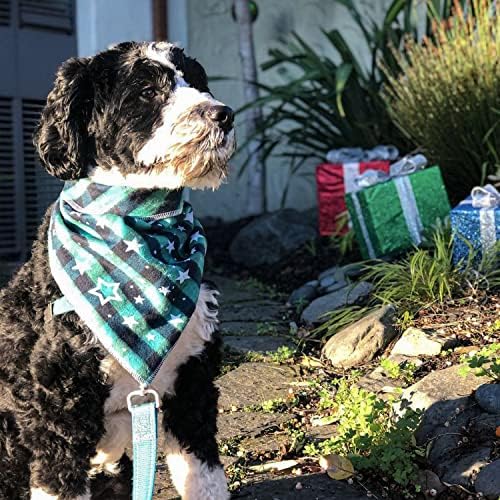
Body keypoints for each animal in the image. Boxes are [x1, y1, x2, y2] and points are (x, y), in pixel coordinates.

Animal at [0, 41, 236, 498]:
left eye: (198, 81)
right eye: (146, 91)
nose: (224, 114)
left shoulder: (191, 390)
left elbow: (205, 479)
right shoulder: (59, 408)